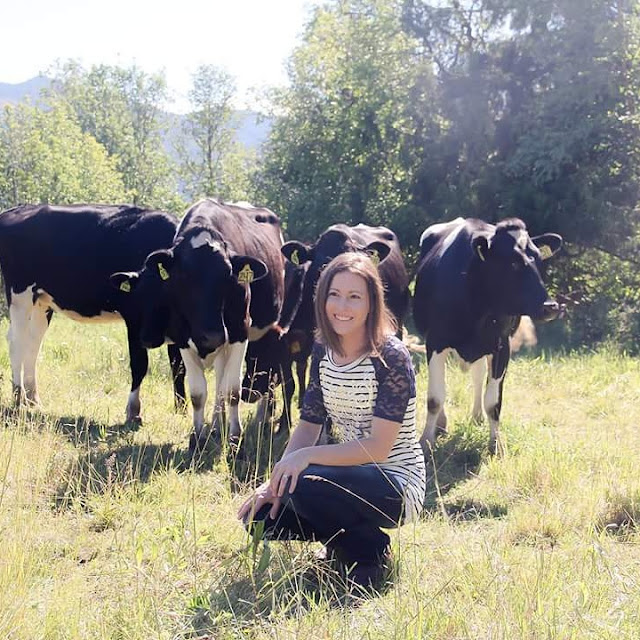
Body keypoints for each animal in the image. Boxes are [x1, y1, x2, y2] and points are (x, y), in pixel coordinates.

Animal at [0, 204, 186, 420]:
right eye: (138, 297)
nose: (149, 337)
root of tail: (17, 209)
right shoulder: (132, 316)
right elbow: (139, 364)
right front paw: (133, 411)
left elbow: (178, 366)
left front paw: (181, 409)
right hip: (20, 293)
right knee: (16, 341)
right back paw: (17, 396)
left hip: (41, 300)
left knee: (33, 343)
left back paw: (33, 399)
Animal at [112, 198, 284, 452]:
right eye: (182, 276)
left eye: (228, 275)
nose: (211, 335)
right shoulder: (183, 336)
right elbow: (198, 393)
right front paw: (198, 437)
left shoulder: (239, 330)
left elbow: (232, 391)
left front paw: (236, 440)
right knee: (219, 381)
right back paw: (217, 425)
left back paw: (259, 417)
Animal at [412, 218, 564, 452]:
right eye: (513, 263)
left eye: (539, 260)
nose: (551, 307)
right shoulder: (435, 342)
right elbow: (435, 398)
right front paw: (426, 441)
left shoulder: (502, 346)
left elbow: (493, 402)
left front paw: (496, 444)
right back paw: (441, 424)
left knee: (478, 376)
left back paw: (476, 417)